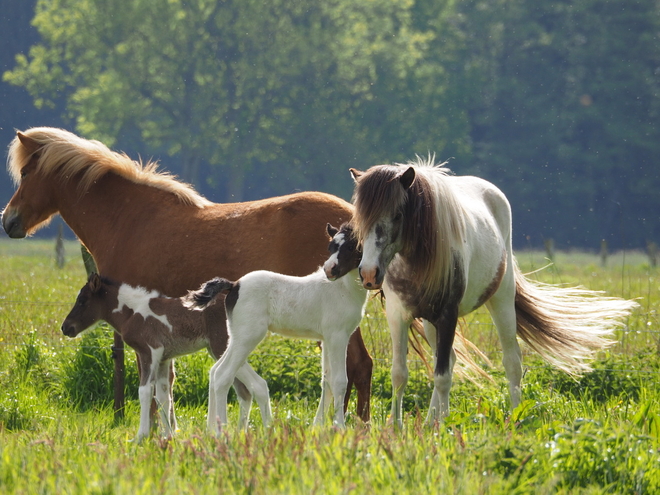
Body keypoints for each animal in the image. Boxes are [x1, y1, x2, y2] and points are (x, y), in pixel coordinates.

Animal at [2, 127, 372, 422]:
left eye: (26, 172)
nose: (9, 221)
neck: (129, 218)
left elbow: (152, 383)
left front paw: (154, 430)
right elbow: (165, 382)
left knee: (357, 367)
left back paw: (353, 426)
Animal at [61, 276, 268, 442]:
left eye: (82, 300)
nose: (65, 327)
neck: (133, 313)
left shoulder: (149, 352)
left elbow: (145, 391)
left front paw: (141, 436)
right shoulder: (163, 359)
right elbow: (163, 396)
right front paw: (168, 436)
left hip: (222, 346)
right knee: (243, 390)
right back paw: (240, 433)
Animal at [350, 158, 640, 426]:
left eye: (398, 215)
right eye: (360, 218)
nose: (369, 273)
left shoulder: (447, 315)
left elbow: (442, 377)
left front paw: (443, 427)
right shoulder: (398, 315)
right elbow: (400, 374)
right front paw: (396, 427)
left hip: (501, 301)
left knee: (511, 362)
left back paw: (515, 417)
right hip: (430, 321)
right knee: (448, 359)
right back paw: (432, 418)